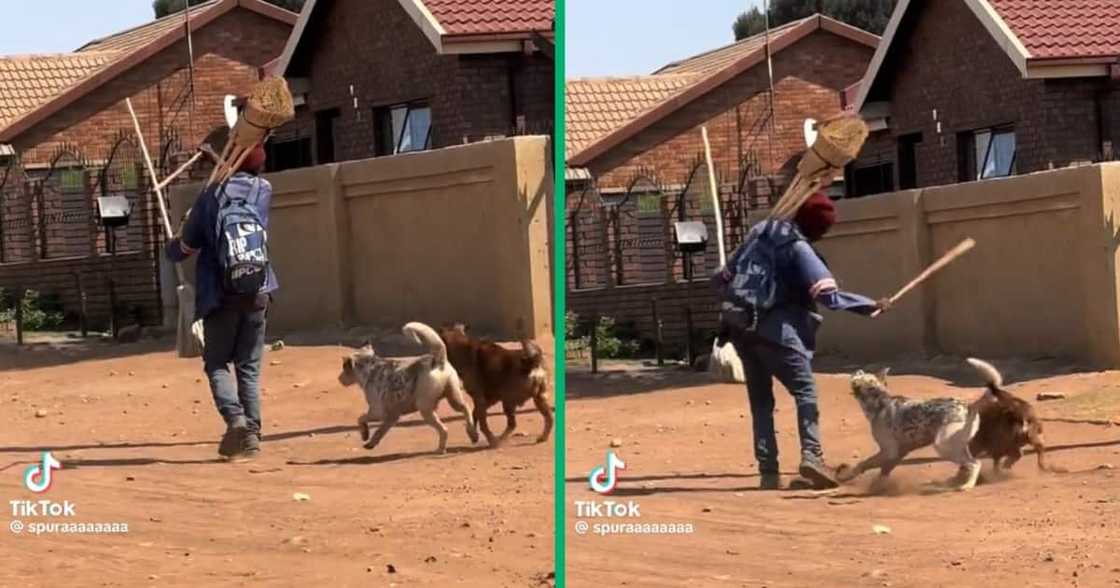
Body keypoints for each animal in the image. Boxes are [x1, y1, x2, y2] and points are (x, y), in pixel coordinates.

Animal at [333, 320, 479, 454]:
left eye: (344, 369)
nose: (339, 379)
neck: (370, 367)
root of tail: (437, 360)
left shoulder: (377, 411)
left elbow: (361, 418)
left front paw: (364, 434)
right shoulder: (392, 416)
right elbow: (380, 431)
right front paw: (371, 443)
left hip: (425, 408)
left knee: (444, 429)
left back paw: (441, 448)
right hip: (453, 397)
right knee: (466, 408)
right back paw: (472, 433)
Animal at [842, 367, 990, 490]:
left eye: (859, 377)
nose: (856, 371)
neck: (880, 401)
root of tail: (968, 407)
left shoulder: (889, 452)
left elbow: (864, 463)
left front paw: (846, 476)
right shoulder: (899, 453)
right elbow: (884, 471)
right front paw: (877, 486)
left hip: (943, 446)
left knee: (974, 463)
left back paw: (967, 485)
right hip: (956, 446)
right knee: (969, 464)